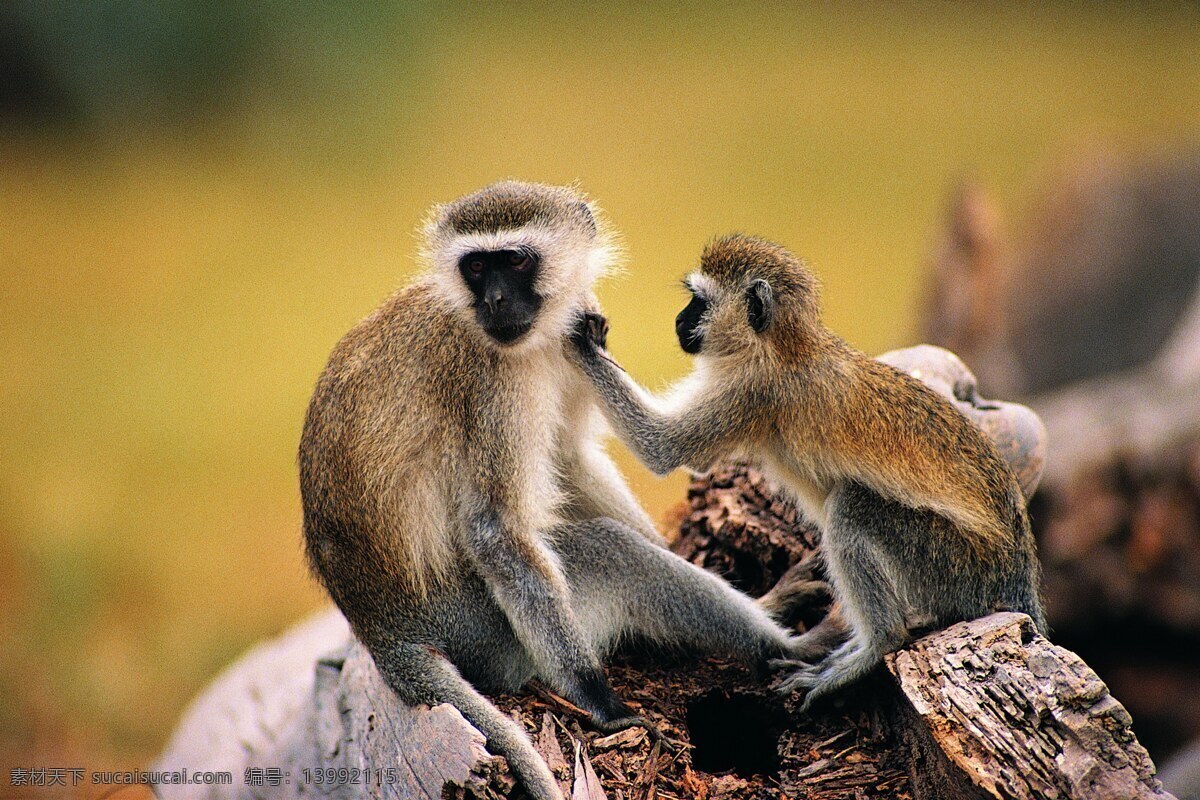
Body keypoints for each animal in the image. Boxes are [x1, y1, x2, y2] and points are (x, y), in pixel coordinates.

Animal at [299, 185, 810, 800]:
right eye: (476, 266)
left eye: (515, 260)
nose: (495, 300)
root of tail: (384, 631)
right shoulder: (491, 378)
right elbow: (496, 529)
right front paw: (600, 701)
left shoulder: (565, 342)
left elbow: (568, 458)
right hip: (482, 629)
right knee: (613, 554)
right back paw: (786, 646)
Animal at [569, 233, 1047, 711]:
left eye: (699, 303)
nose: (679, 321)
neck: (781, 344)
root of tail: (1016, 570)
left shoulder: (750, 390)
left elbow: (661, 448)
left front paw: (581, 342)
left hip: (953, 563)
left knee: (853, 508)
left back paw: (875, 645)